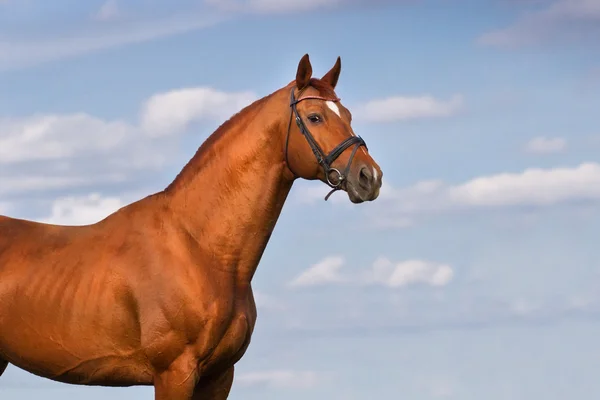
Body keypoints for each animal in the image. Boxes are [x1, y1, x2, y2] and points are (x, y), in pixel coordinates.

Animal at [0, 54, 382, 400]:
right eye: (315, 117)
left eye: (348, 116)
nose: (370, 177)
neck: (199, 247)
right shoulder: (175, 372)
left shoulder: (219, 376)